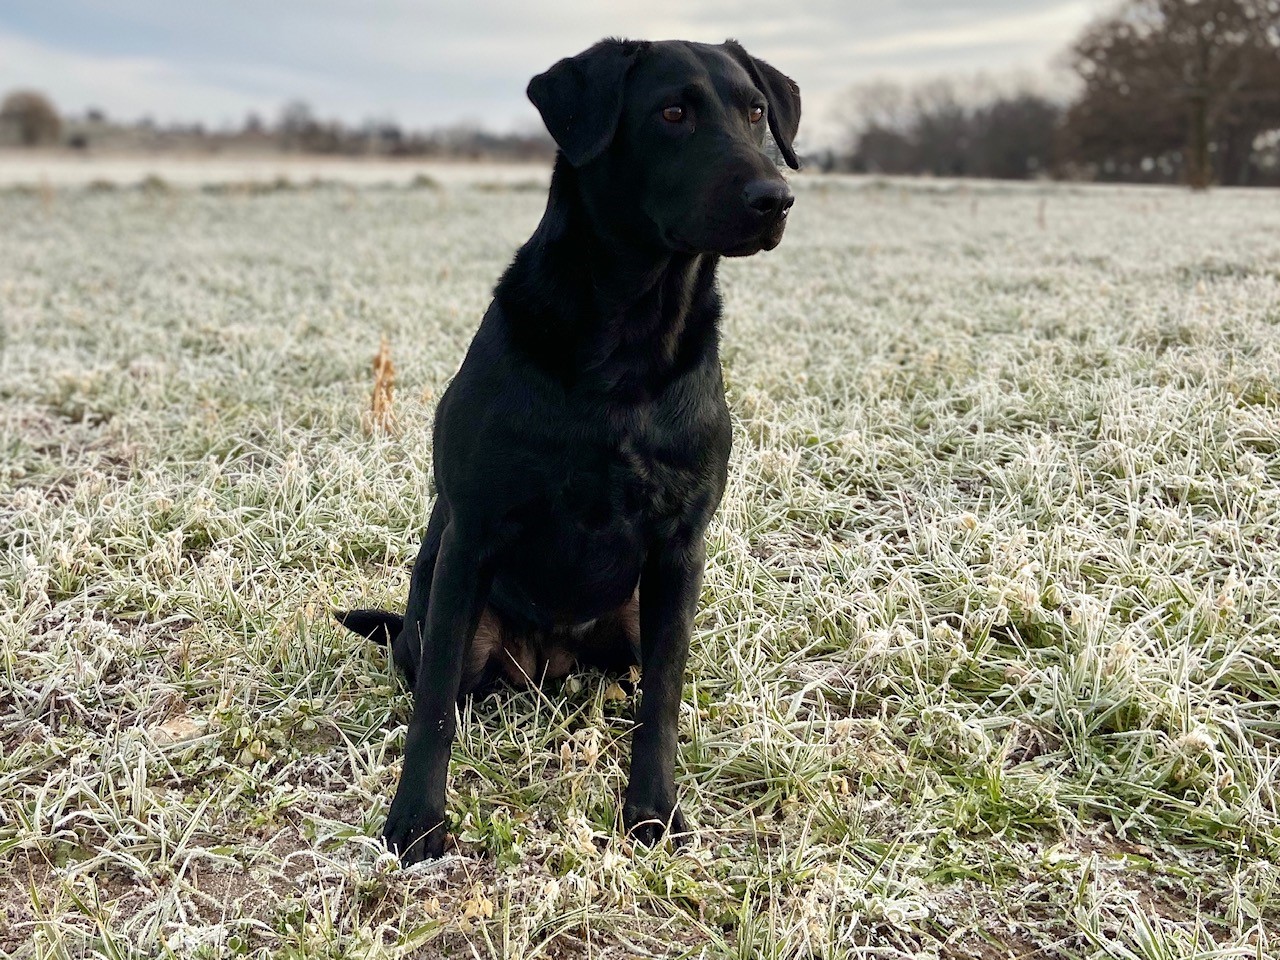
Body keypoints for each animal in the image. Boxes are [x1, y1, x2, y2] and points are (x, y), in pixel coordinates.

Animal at [340, 37, 798, 870]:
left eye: (756, 112)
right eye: (672, 113)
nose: (773, 197)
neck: (629, 341)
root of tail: (548, 664)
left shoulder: (680, 548)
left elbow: (663, 701)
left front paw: (653, 812)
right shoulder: (472, 536)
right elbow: (433, 712)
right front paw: (416, 820)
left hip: (639, 615)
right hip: (450, 618)